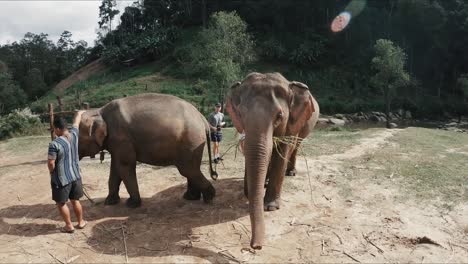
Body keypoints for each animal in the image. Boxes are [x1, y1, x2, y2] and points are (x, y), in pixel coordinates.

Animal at [77, 94, 217, 207]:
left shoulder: (121, 138)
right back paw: (191, 197)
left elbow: (125, 165)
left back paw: (209, 198)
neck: (99, 111)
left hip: (191, 139)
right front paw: (109, 202)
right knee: (192, 169)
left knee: (187, 169)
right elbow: (115, 168)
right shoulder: (115, 143)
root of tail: (202, 118)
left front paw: (132, 204)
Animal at [226, 72, 320, 250]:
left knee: (296, 146)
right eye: (240, 114)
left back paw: (291, 172)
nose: (256, 246)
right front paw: (252, 191)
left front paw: (270, 207)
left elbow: (282, 151)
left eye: (279, 116)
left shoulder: (292, 122)